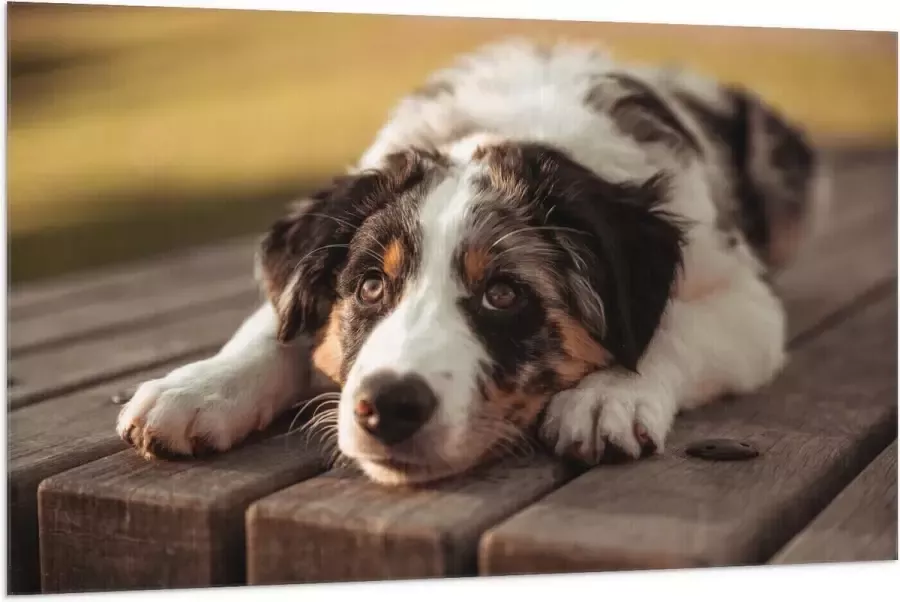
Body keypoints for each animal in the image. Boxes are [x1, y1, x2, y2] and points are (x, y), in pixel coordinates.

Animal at [116, 38, 828, 482]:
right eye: (370, 286)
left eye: (504, 294)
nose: (387, 408)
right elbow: (274, 324)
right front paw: (197, 388)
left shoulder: (746, 301)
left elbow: (670, 327)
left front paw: (610, 396)